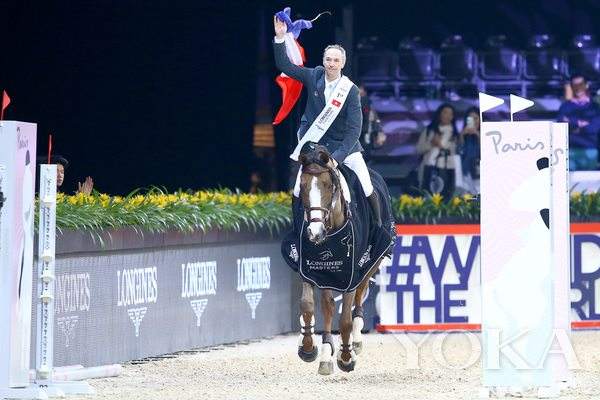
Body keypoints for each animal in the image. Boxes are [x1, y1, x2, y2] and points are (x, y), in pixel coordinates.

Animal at [296, 146, 384, 376]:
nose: (314, 233)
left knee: (359, 297)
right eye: (302, 185)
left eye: (328, 185)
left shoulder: (350, 274)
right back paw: (325, 352)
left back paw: (356, 341)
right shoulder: (311, 269)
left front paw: (346, 358)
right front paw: (309, 348)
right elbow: (308, 305)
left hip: (371, 263)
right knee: (328, 305)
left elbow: (344, 320)